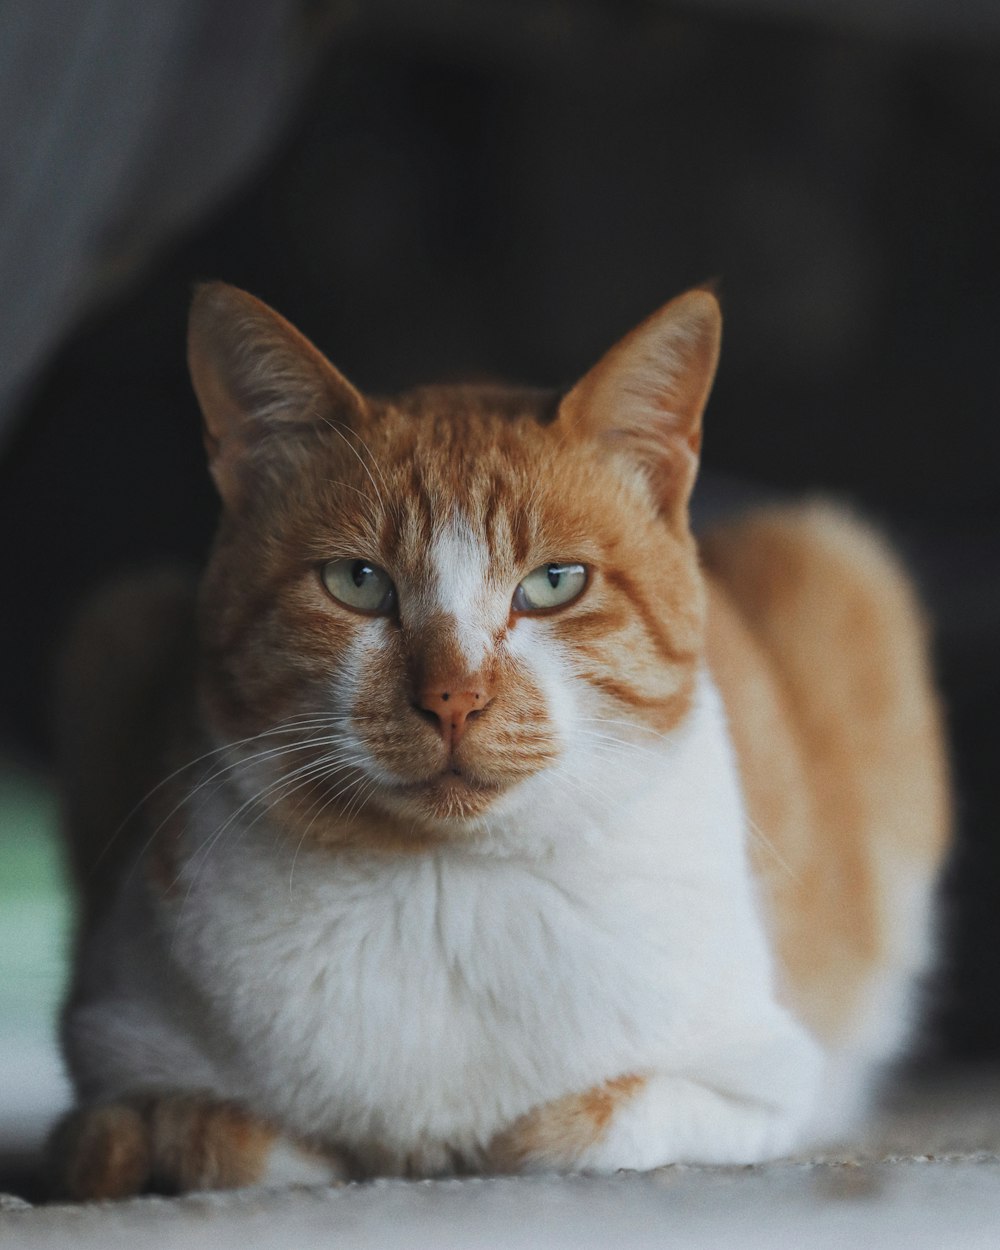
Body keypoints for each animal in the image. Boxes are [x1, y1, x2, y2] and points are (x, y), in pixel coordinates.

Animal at [48, 278, 955, 1195]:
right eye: (357, 582)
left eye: (555, 583)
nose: (453, 696)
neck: (445, 891)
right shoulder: (110, 1050)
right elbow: (215, 1143)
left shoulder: (762, 1085)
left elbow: (563, 1133)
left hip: (835, 563)